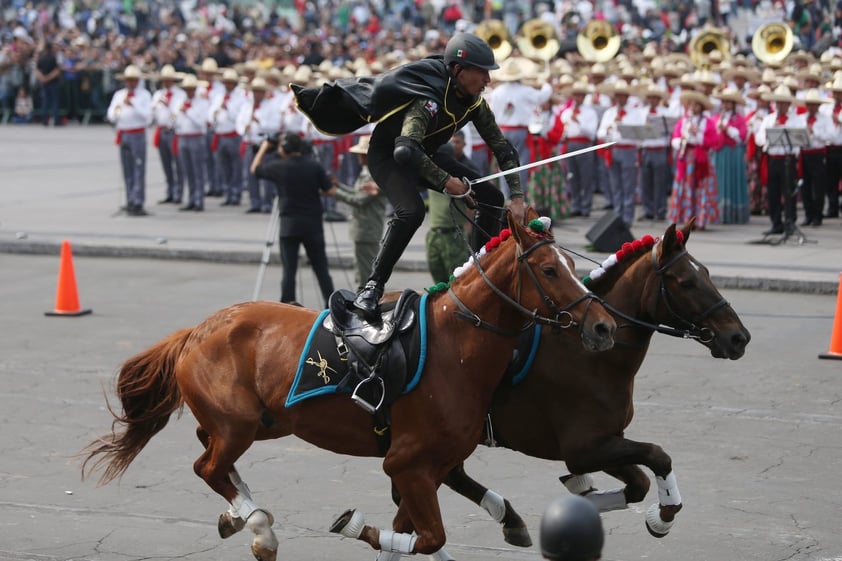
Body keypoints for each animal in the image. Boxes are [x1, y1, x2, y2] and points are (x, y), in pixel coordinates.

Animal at [80, 211, 616, 560]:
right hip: (239, 427)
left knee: (208, 452)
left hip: (266, 422)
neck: (456, 347)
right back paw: (258, 527)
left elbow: (419, 535)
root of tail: (199, 328)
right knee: (207, 466)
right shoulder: (409, 465)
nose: (604, 326)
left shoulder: (428, 467)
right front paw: (355, 527)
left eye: (574, 266)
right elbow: (429, 537)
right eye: (550, 269)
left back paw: (238, 515)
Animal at [398, 219, 748, 548]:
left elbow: (640, 482)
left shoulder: (608, 440)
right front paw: (662, 516)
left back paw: (508, 517)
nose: (738, 337)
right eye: (687, 282)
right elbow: (657, 455)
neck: (592, 356)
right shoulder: (584, 447)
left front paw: (591, 494)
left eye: (707, 273)